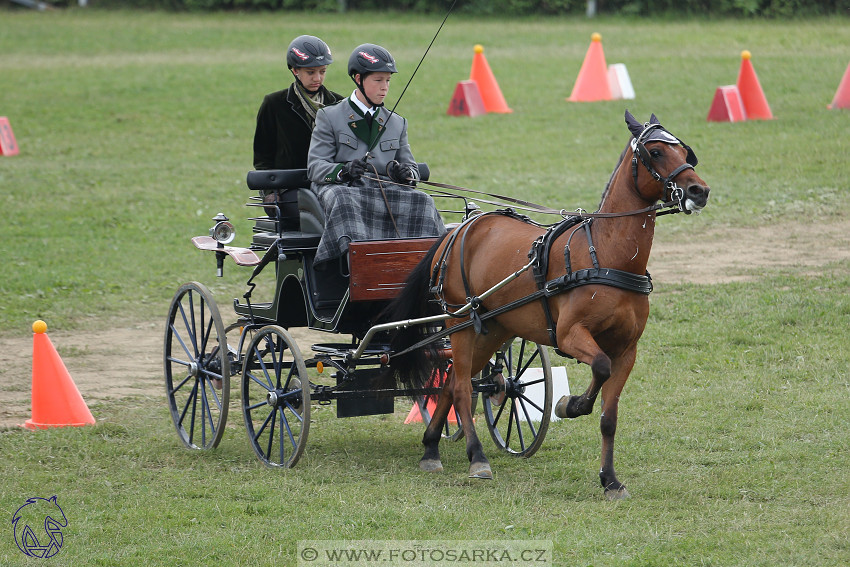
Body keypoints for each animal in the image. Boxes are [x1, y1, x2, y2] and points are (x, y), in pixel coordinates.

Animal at [384, 112, 708, 502]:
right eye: (656, 151)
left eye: (685, 151)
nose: (699, 191)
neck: (606, 255)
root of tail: (459, 230)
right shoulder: (570, 336)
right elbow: (599, 367)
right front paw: (570, 405)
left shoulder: (626, 350)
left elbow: (609, 418)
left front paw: (610, 480)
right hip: (459, 323)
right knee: (461, 387)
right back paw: (477, 458)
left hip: (493, 329)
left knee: (449, 383)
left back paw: (431, 448)